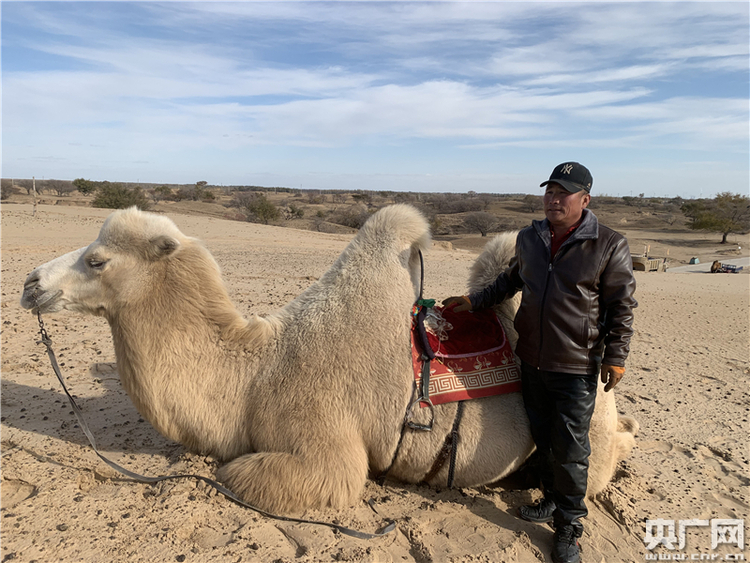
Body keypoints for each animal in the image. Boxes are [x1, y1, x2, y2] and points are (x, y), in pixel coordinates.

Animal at [20, 205, 636, 512]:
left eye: (98, 260)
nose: (30, 283)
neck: (253, 376)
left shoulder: (326, 444)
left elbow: (240, 472)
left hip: (590, 427)